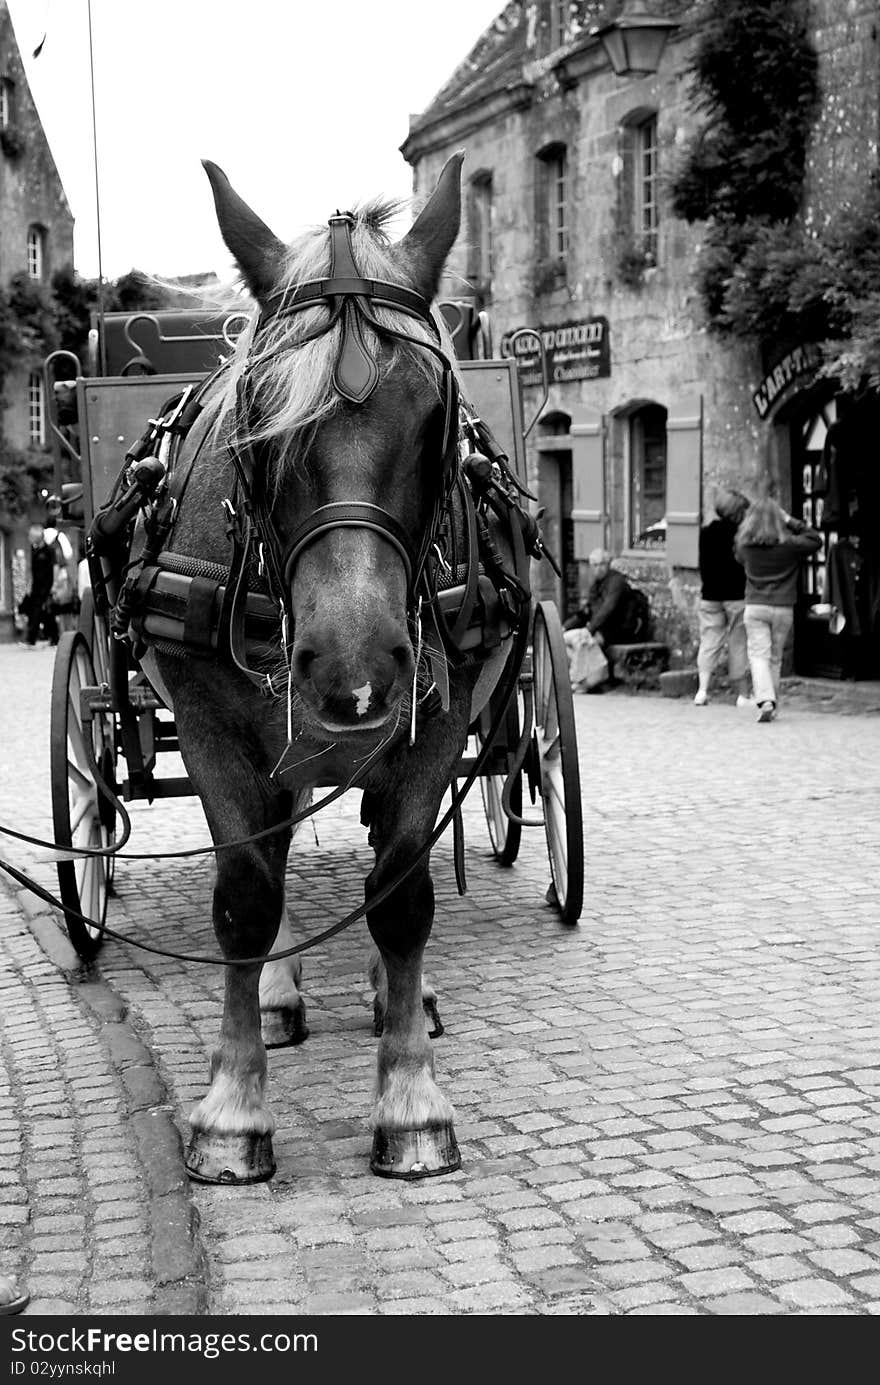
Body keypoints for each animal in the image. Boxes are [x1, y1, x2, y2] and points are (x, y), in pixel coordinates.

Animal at [127, 154, 534, 1191]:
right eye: (260, 418)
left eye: (436, 416)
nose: (354, 671)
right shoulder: (215, 731)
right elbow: (247, 897)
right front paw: (233, 1110)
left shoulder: (432, 726)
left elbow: (401, 896)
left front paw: (413, 1101)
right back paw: (275, 998)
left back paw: (401, 997)